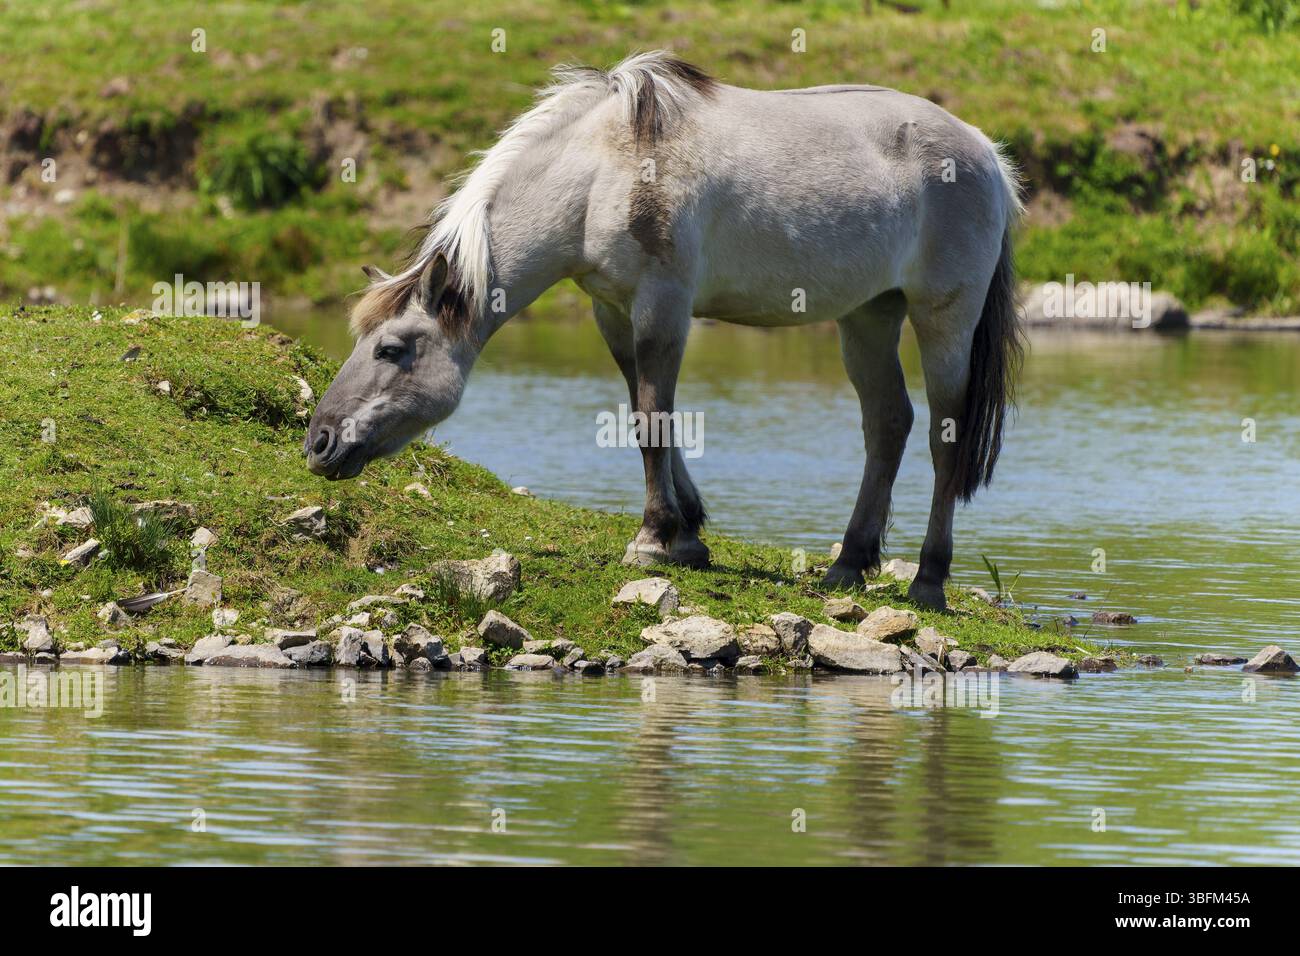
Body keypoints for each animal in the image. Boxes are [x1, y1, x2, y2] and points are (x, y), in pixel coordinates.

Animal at [305, 52, 1024, 611]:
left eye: (393, 349)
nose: (319, 442)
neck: (602, 169)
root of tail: (985, 152)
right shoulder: (614, 311)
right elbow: (645, 411)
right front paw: (689, 532)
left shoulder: (664, 305)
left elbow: (653, 414)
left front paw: (653, 539)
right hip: (869, 314)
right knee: (888, 423)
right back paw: (848, 563)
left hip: (942, 317)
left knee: (944, 434)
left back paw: (928, 580)